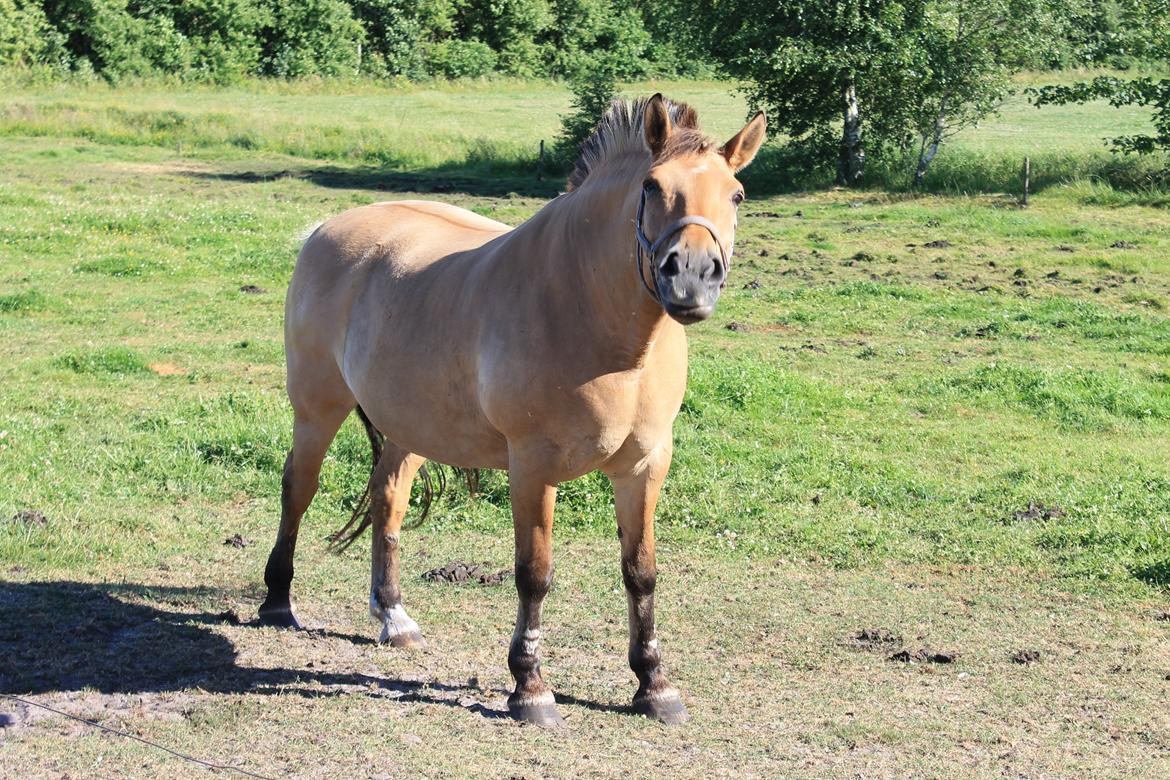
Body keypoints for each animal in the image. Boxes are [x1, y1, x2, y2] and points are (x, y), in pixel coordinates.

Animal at [257, 95, 767, 725]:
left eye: (736, 195)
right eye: (651, 186)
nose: (693, 278)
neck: (594, 322)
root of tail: (327, 229)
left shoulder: (645, 466)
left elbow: (641, 573)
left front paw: (654, 684)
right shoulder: (533, 466)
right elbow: (534, 575)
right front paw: (531, 687)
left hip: (409, 425)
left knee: (387, 500)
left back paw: (394, 617)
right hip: (316, 407)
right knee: (298, 488)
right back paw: (278, 601)